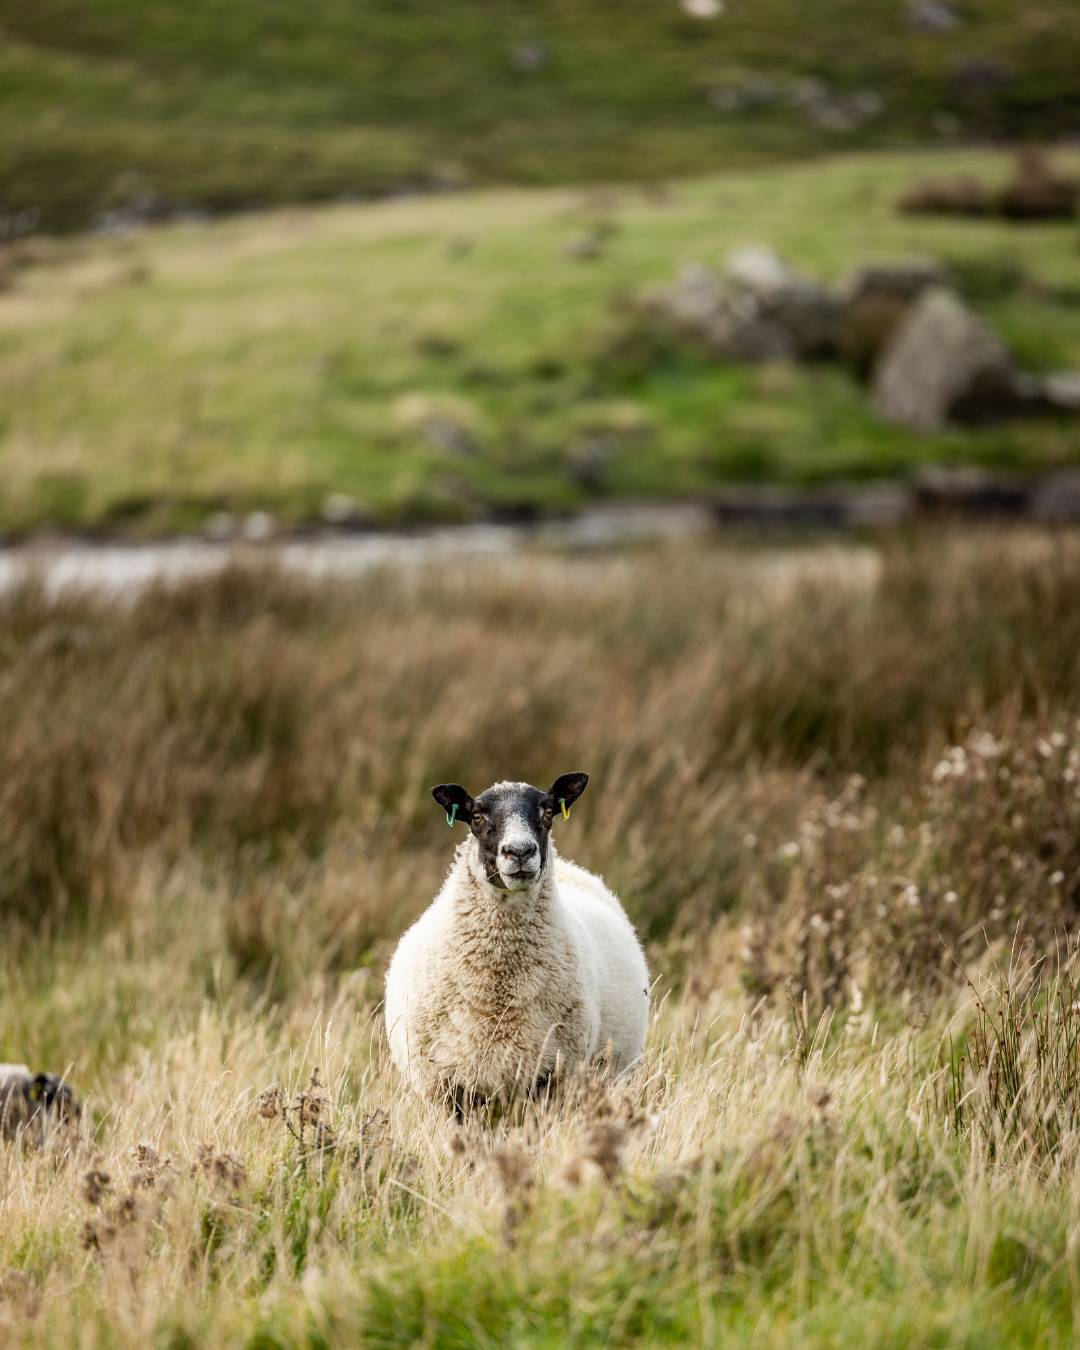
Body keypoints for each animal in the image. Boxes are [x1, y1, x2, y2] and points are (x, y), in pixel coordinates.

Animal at [384, 772, 649, 1107]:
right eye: (477, 816)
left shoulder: (551, 1076)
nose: (520, 851)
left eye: (547, 812)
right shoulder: (449, 1085)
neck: (501, 991)